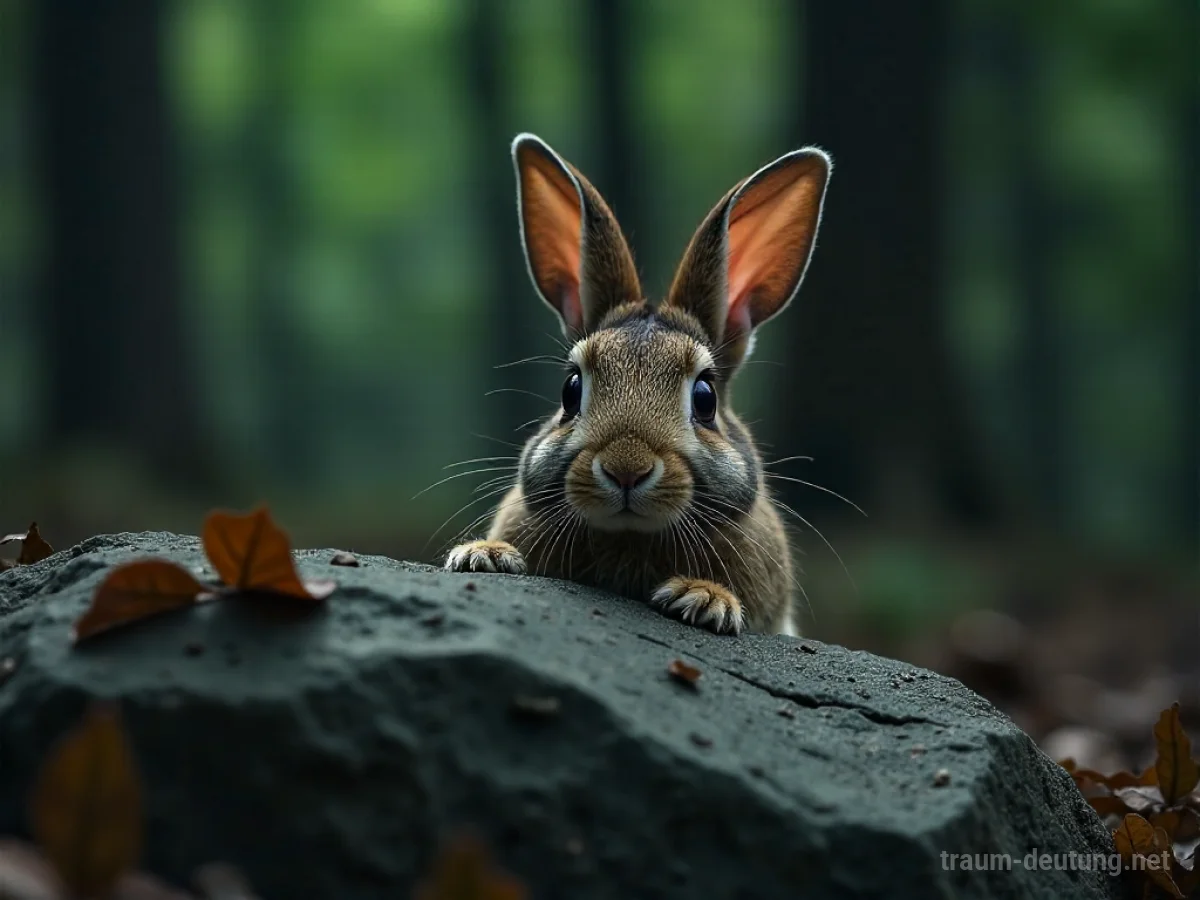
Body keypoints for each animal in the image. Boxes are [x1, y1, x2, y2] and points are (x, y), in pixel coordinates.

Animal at [444, 133, 831, 636]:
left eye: (705, 398)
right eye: (570, 390)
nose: (626, 469)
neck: (629, 539)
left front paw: (702, 598)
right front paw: (484, 556)